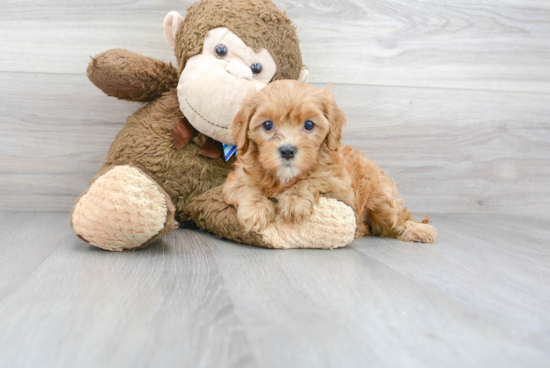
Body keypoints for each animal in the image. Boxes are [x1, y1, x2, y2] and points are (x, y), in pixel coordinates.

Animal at [224, 80, 440, 244]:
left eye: (309, 124)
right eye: (267, 125)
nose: (287, 150)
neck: (284, 178)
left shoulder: (340, 186)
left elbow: (312, 179)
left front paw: (294, 201)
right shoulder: (234, 181)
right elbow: (248, 188)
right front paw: (255, 210)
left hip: (380, 198)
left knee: (398, 219)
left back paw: (419, 230)